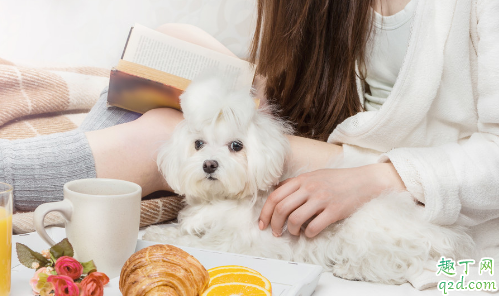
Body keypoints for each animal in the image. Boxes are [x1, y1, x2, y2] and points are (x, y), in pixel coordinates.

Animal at [144, 74, 472, 284]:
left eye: (237, 146)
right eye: (198, 144)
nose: (209, 164)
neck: (224, 200)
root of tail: (433, 229)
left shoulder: (240, 242)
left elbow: (199, 242)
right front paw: (159, 232)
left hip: (366, 228)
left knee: (395, 262)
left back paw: (350, 269)